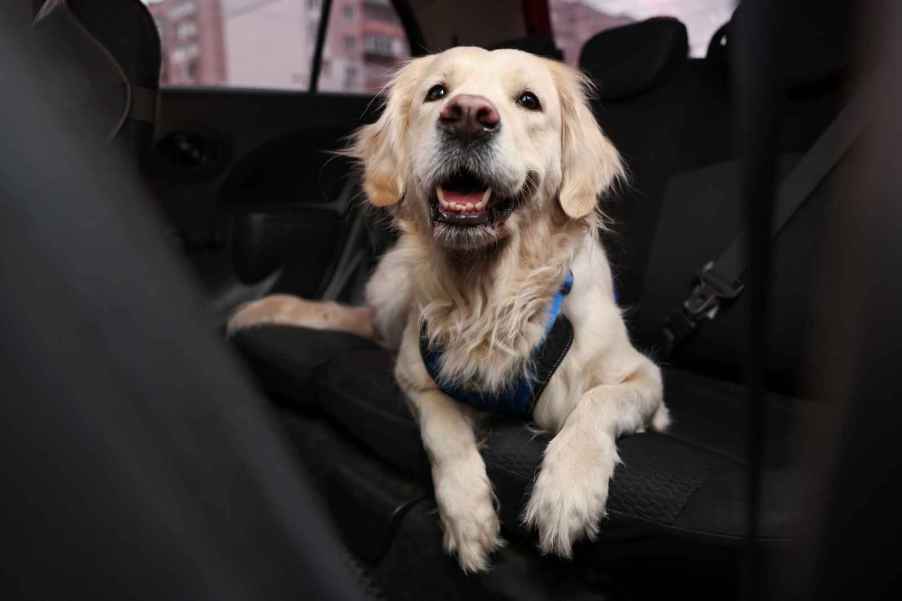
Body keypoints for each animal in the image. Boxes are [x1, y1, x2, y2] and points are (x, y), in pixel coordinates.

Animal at [231, 47, 672, 572]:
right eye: (437, 92)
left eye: (529, 100)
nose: (467, 116)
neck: (491, 297)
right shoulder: (415, 373)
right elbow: (442, 431)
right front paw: (468, 515)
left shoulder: (645, 380)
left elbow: (597, 401)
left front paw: (567, 492)